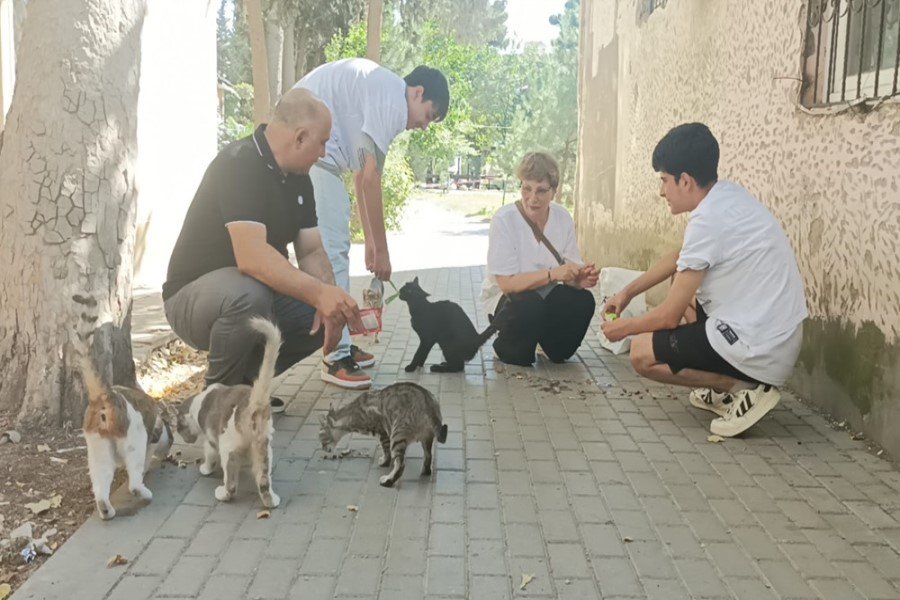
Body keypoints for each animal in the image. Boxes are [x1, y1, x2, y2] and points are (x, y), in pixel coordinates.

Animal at [178, 316, 284, 508]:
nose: (186, 440)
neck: (199, 401)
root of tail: (254, 405)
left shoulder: (211, 440)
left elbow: (209, 455)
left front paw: (205, 468)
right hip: (264, 448)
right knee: (264, 481)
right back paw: (271, 501)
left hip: (229, 450)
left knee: (232, 485)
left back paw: (222, 493)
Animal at [322, 384, 450, 488]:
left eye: (321, 436)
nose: (322, 448)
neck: (352, 413)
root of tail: (428, 404)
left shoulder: (382, 432)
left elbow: (386, 451)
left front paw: (385, 462)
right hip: (426, 439)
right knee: (428, 456)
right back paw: (425, 471)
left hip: (397, 436)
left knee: (400, 464)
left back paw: (388, 480)